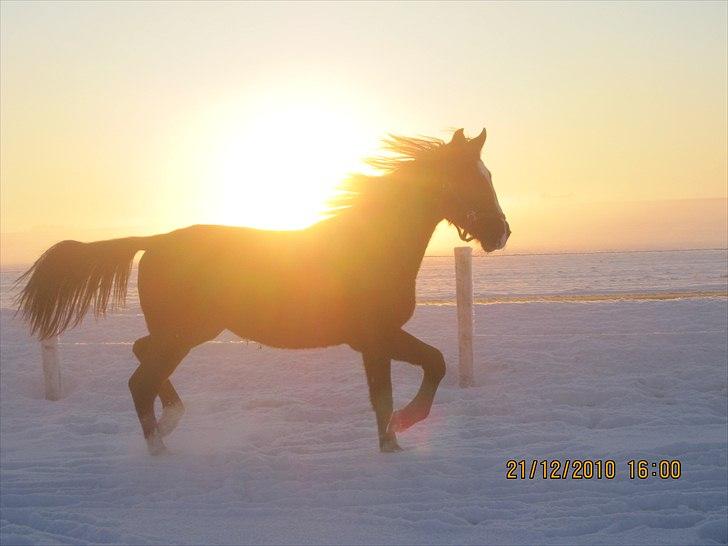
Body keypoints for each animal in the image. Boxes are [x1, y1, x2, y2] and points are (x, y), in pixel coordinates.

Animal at [14, 126, 510, 450]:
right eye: (471, 178)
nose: (501, 233)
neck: (372, 247)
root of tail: (154, 241)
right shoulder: (377, 336)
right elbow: (432, 365)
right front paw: (406, 424)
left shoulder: (374, 343)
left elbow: (390, 392)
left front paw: (392, 442)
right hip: (184, 334)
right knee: (140, 381)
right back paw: (160, 449)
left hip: (186, 333)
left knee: (141, 356)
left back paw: (171, 422)